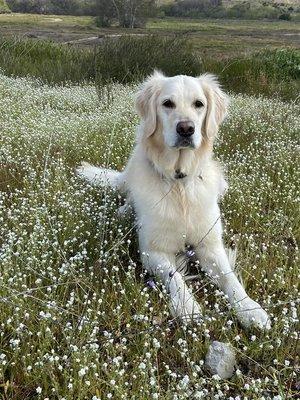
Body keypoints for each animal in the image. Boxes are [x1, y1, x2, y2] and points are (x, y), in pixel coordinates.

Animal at [77, 72, 270, 332]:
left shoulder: (211, 245)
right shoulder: (152, 250)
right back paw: (124, 211)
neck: (179, 184)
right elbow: (174, 275)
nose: (186, 129)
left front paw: (250, 308)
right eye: (167, 103)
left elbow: (229, 278)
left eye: (199, 104)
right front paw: (188, 306)